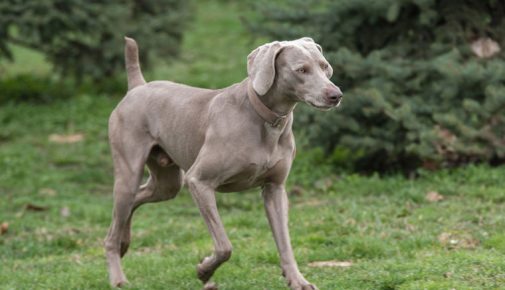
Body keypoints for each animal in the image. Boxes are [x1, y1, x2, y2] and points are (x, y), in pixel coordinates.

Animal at [105, 36, 342, 290]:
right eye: (301, 70)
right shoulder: (199, 181)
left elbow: (285, 242)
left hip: (167, 184)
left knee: (136, 200)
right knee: (117, 220)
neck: (267, 121)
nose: (336, 94)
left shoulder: (275, 188)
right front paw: (204, 271)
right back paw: (117, 275)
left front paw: (298, 280)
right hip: (129, 172)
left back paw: (124, 242)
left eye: (325, 66)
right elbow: (224, 245)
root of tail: (138, 86)